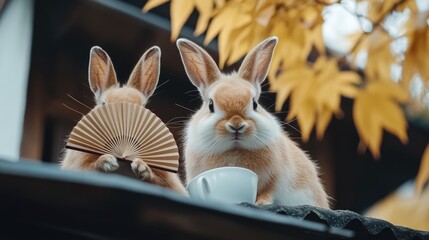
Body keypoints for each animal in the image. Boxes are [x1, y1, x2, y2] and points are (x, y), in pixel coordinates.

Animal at [176, 36, 330, 207]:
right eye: (211, 105)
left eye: (255, 103)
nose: (236, 125)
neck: (235, 149)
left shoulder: (276, 177)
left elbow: (268, 190)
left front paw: (261, 203)